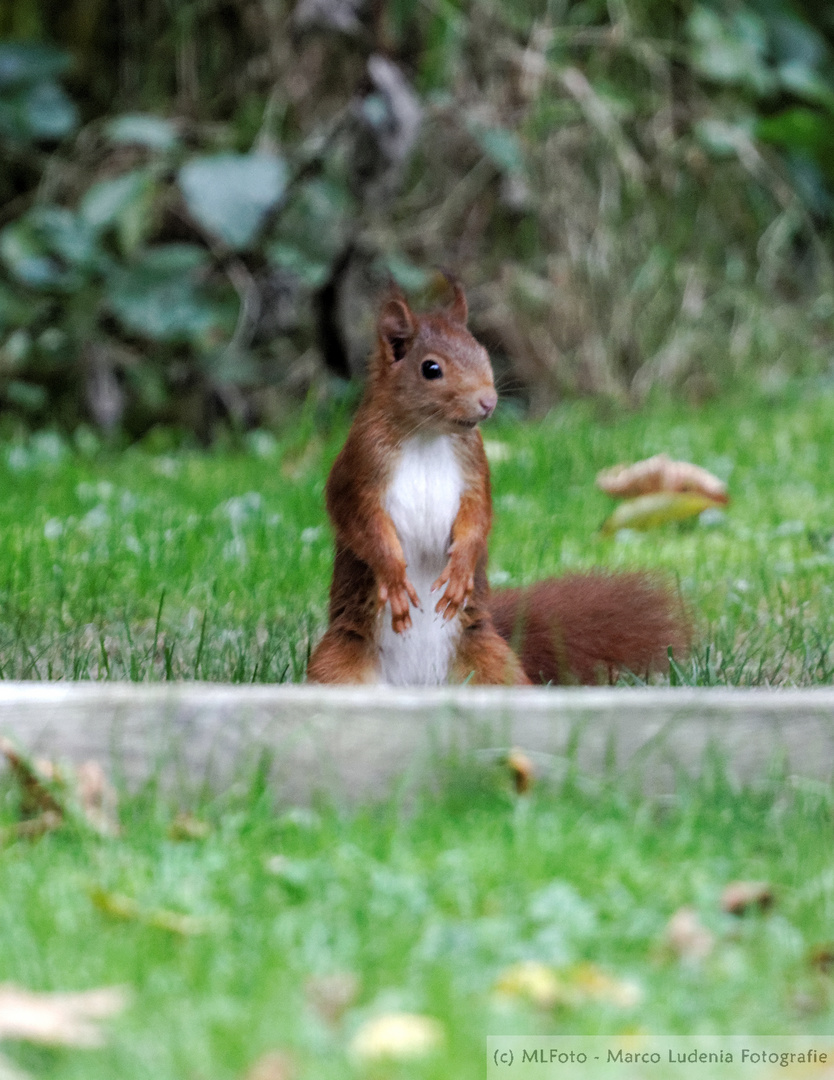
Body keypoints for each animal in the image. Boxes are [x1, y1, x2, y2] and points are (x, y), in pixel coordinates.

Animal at [304, 278, 682, 682]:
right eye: (431, 368)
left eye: (482, 354)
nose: (488, 401)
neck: (426, 435)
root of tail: (421, 685)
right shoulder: (359, 468)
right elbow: (362, 523)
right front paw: (393, 575)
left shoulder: (475, 468)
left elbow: (478, 516)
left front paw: (461, 570)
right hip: (335, 663)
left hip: (493, 661)